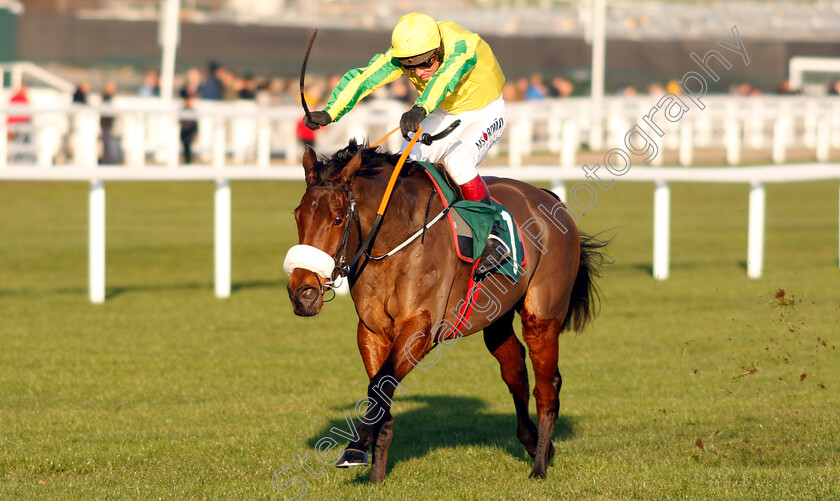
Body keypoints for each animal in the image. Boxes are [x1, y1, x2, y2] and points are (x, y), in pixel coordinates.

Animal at [288, 139, 604, 482]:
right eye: (297, 215)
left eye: (336, 218)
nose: (301, 293)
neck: (395, 238)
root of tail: (549, 198)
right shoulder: (371, 330)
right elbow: (380, 390)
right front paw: (375, 472)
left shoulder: (420, 328)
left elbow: (379, 385)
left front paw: (356, 448)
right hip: (496, 316)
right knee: (515, 371)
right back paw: (534, 443)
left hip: (542, 315)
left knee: (547, 387)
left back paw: (539, 466)